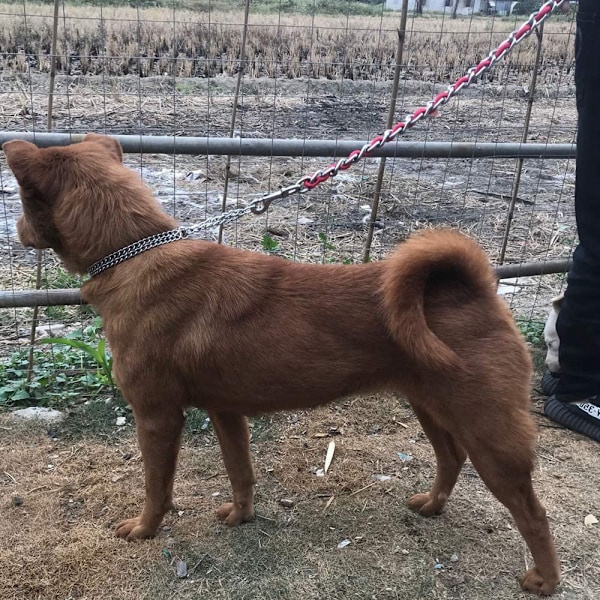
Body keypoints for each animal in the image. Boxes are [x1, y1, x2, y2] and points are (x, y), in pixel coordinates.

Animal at [2, 135, 560, 596]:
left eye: (24, 202)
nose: (15, 229)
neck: (129, 252)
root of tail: (474, 286)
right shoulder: (225, 411)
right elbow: (240, 471)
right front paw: (241, 517)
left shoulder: (157, 417)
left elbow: (157, 488)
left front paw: (144, 531)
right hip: (432, 405)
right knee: (450, 457)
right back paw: (432, 504)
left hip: (489, 430)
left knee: (533, 512)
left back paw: (544, 579)